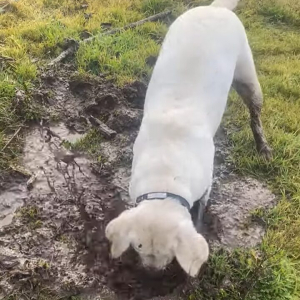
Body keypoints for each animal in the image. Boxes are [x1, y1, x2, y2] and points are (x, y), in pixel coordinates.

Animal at [106, 0, 272, 276]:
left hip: (247, 76)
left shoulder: (205, 185)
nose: (151, 273)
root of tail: (216, 8)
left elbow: (200, 213)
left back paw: (263, 147)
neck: (165, 174)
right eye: (138, 247)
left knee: (255, 114)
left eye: (170, 253)